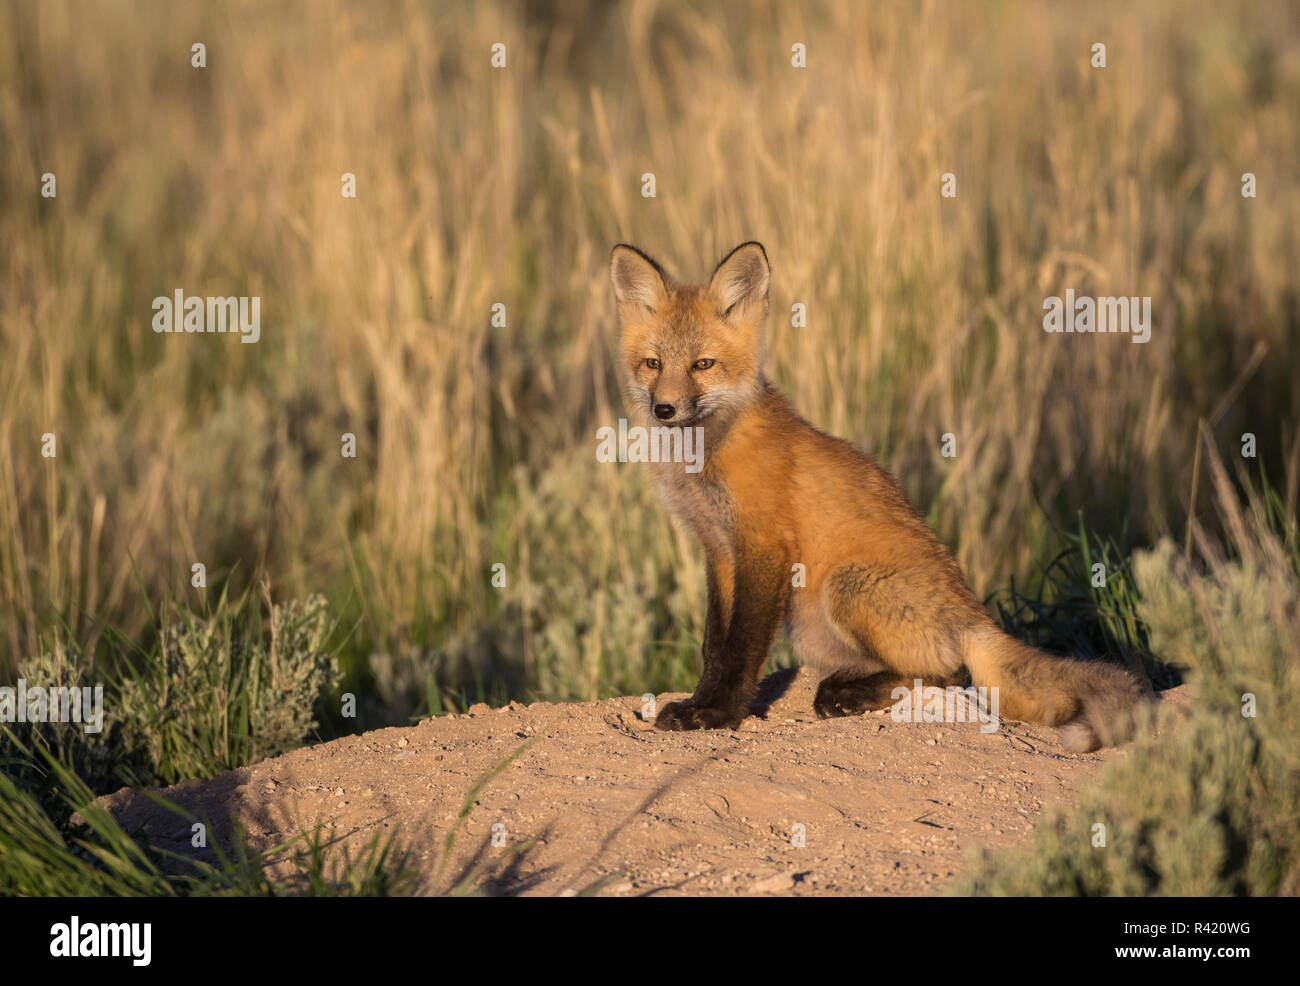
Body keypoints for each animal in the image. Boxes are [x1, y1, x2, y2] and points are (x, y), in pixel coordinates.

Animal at [608, 243, 1149, 754]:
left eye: (703, 364)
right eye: (653, 363)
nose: (664, 409)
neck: (702, 457)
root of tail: (975, 615)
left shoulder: (763, 547)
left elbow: (740, 649)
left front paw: (717, 715)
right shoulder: (719, 550)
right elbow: (713, 646)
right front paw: (700, 701)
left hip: (846, 587)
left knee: (951, 673)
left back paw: (848, 697)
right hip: (811, 626)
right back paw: (848, 684)